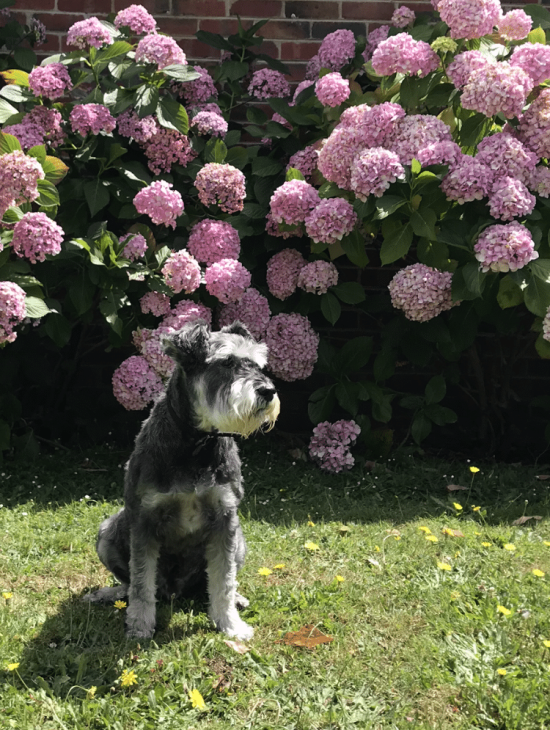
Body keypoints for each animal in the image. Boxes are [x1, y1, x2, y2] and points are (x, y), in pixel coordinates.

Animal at [86, 320, 284, 636]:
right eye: (226, 362)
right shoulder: (144, 519)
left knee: (213, 583)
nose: (268, 391)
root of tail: (175, 592)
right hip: (108, 531)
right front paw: (139, 627)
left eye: (256, 364)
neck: (196, 443)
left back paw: (237, 599)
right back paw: (111, 594)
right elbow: (141, 582)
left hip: (240, 541)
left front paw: (231, 625)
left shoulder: (225, 519)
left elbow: (223, 581)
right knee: (129, 583)